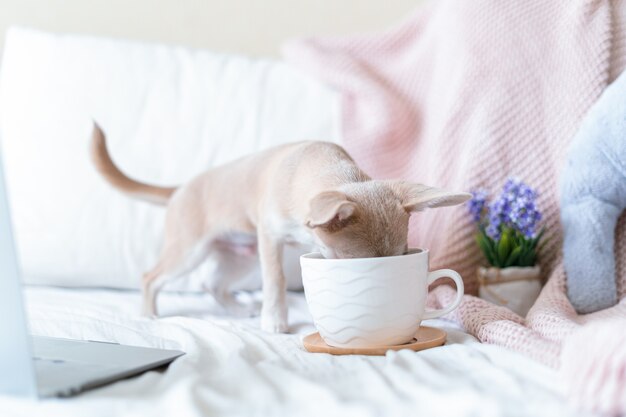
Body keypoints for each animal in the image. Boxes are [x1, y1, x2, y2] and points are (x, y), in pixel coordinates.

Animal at [89, 123, 468, 332]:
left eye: (402, 256)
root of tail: (180, 188)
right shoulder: (269, 238)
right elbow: (276, 280)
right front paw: (274, 319)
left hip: (240, 255)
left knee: (210, 283)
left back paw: (237, 309)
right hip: (190, 251)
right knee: (151, 277)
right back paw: (148, 314)